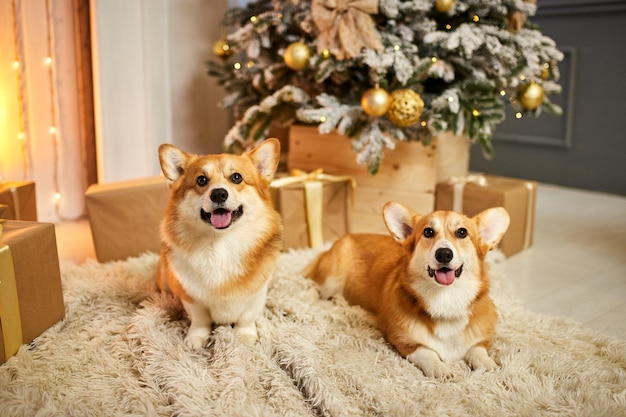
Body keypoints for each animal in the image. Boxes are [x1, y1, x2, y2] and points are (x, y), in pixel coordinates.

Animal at [157, 139, 282, 348]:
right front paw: (196, 338)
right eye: (201, 180)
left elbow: (246, 317)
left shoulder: (256, 296)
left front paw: (244, 336)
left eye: (237, 177)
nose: (218, 194)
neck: (221, 244)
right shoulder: (192, 298)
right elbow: (200, 320)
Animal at [306, 203, 508, 378]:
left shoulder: (481, 339)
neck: (445, 298)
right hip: (330, 280)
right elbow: (427, 353)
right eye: (428, 231)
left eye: (462, 232)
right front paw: (441, 370)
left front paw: (489, 365)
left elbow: (477, 350)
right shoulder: (403, 341)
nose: (443, 254)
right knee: (313, 285)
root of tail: (344, 237)